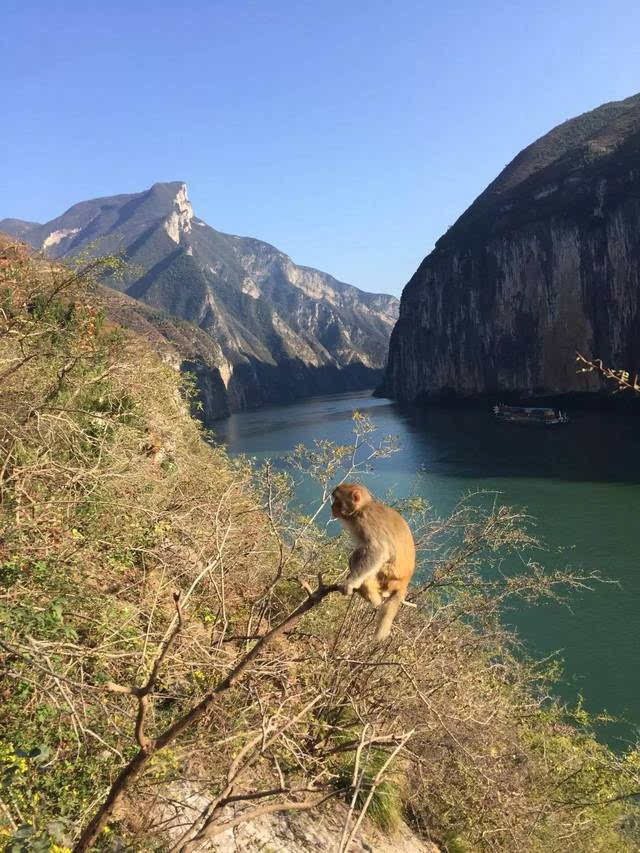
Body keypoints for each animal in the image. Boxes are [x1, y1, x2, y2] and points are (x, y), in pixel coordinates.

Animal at [330, 480, 416, 640]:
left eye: (337, 500)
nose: (332, 507)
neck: (362, 508)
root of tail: (405, 581)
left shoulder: (365, 521)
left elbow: (378, 551)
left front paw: (350, 583)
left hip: (388, 575)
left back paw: (373, 598)